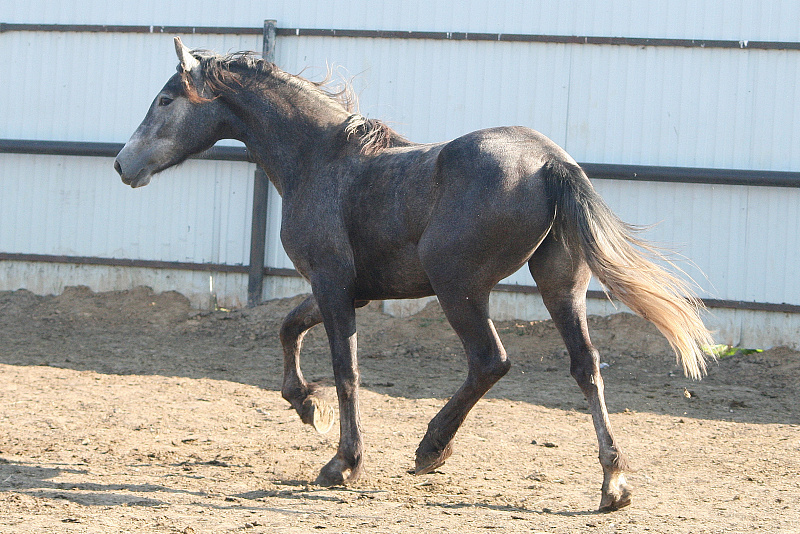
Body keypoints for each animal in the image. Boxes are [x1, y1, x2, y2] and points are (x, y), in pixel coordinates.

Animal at [115, 37, 714, 511]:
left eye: (165, 99)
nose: (123, 165)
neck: (318, 159)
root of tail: (549, 163)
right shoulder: (346, 290)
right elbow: (288, 329)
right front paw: (307, 406)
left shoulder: (332, 284)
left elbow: (346, 369)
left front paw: (342, 462)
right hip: (560, 286)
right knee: (585, 366)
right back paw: (613, 484)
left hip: (458, 287)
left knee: (490, 361)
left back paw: (431, 449)